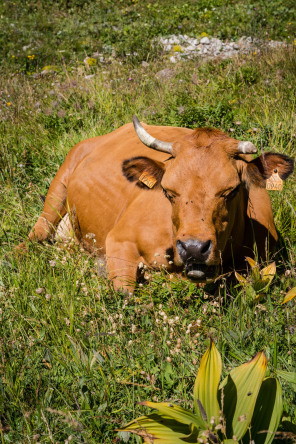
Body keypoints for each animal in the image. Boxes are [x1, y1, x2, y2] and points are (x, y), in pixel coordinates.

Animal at [23, 116, 294, 294]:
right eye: (168, 191)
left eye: (232, 190)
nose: (193, 248)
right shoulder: (119, 240)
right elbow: (126, 293)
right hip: (57, 190)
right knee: (35, 236)